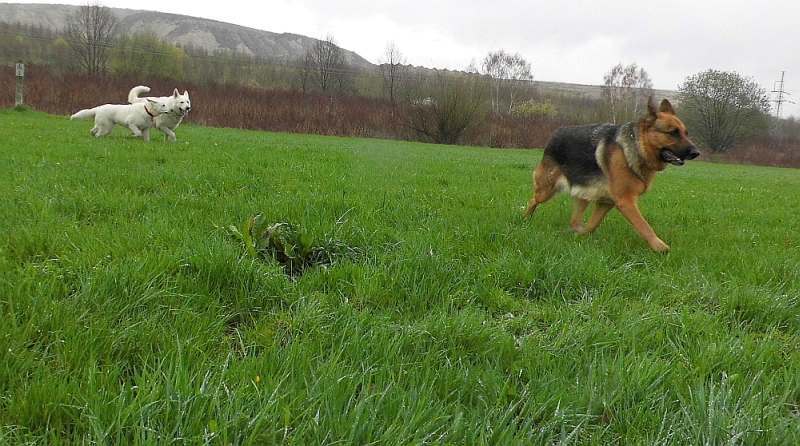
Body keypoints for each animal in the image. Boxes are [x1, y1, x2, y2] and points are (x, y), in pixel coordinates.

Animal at [520, 98, 696, 251]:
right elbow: (644, 226)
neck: (638, 147)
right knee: (533, 200)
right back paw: (524, 220)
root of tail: (556, 133)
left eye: (686, 133)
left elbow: (592, 225)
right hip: (546, 190)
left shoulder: (606, 203)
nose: (696, 153)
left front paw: (581, 236)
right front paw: (660, 247)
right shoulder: (626, 201)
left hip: (583, 195)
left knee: (574, 220)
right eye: (673, 133)